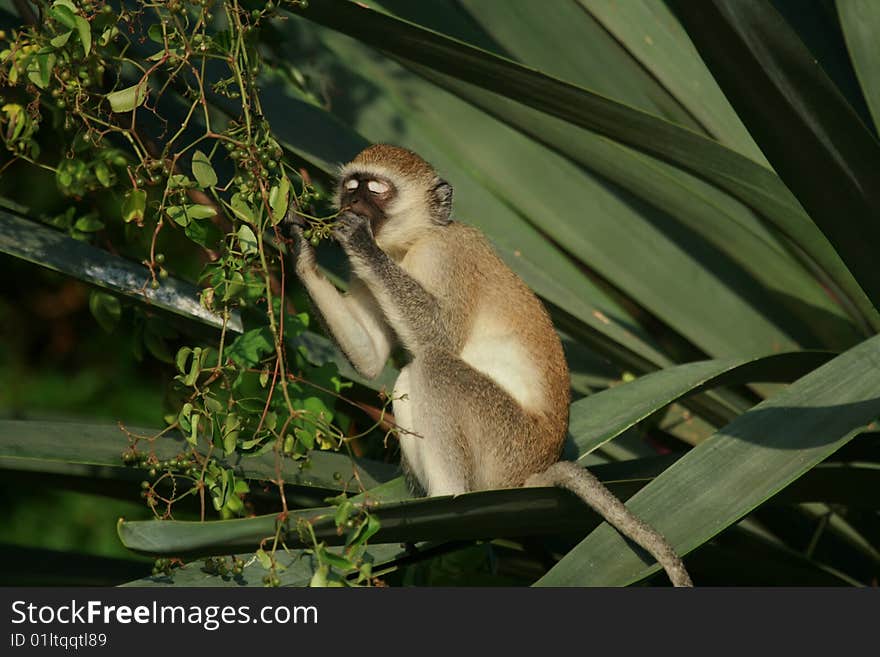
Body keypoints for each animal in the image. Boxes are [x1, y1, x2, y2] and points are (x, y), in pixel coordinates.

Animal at [286, 146, 692, 588]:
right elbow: (372, 357)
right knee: (409, 376)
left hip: (504, 445)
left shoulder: (447, 254)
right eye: (351, 187)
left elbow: (439, 336)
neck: (413, 242)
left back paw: (445, 503)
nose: (352, 204)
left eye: (376, 190)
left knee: (432, 366)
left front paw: (358, 240)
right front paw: (297, 245)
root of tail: (534, 470)